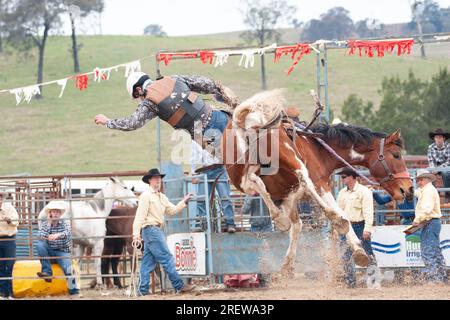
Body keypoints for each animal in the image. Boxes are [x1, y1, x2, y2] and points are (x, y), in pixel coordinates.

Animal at [216, 91, 414, 276]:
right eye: (396, 155)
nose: (408, 188)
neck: (319, 149)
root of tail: (246, 118)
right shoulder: (321, 183)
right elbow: (339, 211)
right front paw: (350, 237)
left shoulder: (288, 197)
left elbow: (297, 226)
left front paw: (288, 264)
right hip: (288, 156)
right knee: (301, 175)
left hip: (241, 170)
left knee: (252, 180)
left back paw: (280, 219)